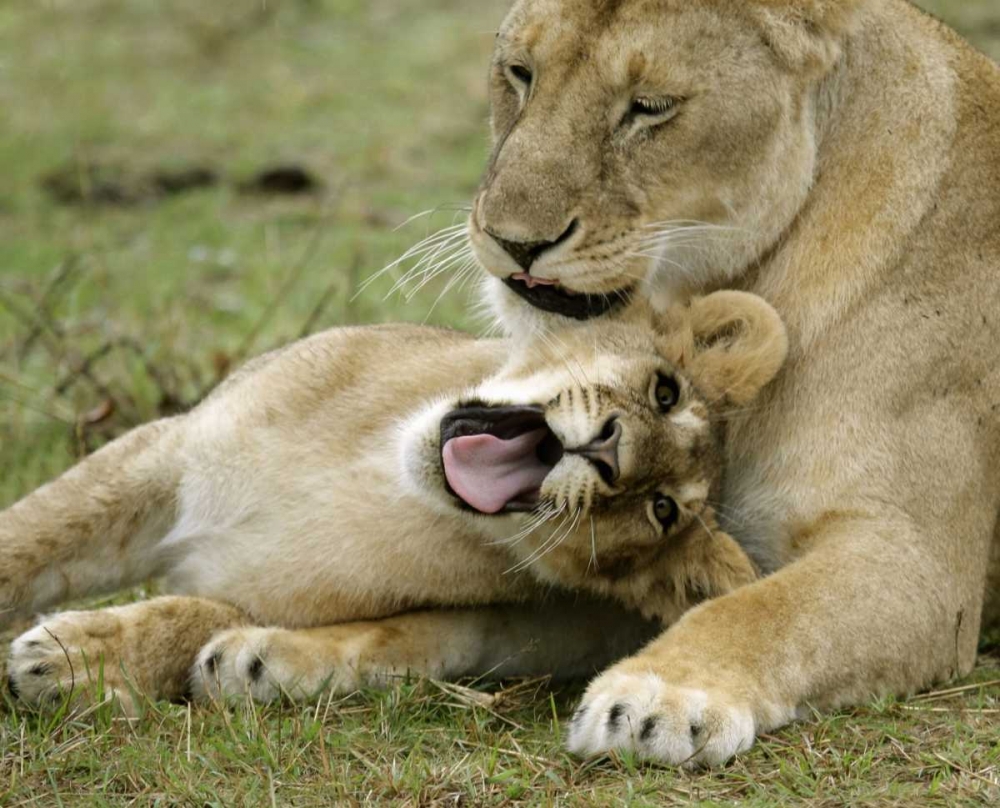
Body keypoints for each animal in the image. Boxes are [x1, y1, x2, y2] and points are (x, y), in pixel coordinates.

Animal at [3, 292, 786, 712]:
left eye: (662, 510)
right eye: (665, 390)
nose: (609, 452)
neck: (373, 471)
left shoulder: (253, 587)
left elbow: (190, 613)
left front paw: (71, 654)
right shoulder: (168, 448)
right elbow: (32, 535)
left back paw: (250, 665)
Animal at [446, 0, 1000, 767]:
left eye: (649, 108)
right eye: (520, 73)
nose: (514, 243)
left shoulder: (925, 567)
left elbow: (771, 610)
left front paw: (659, 693)